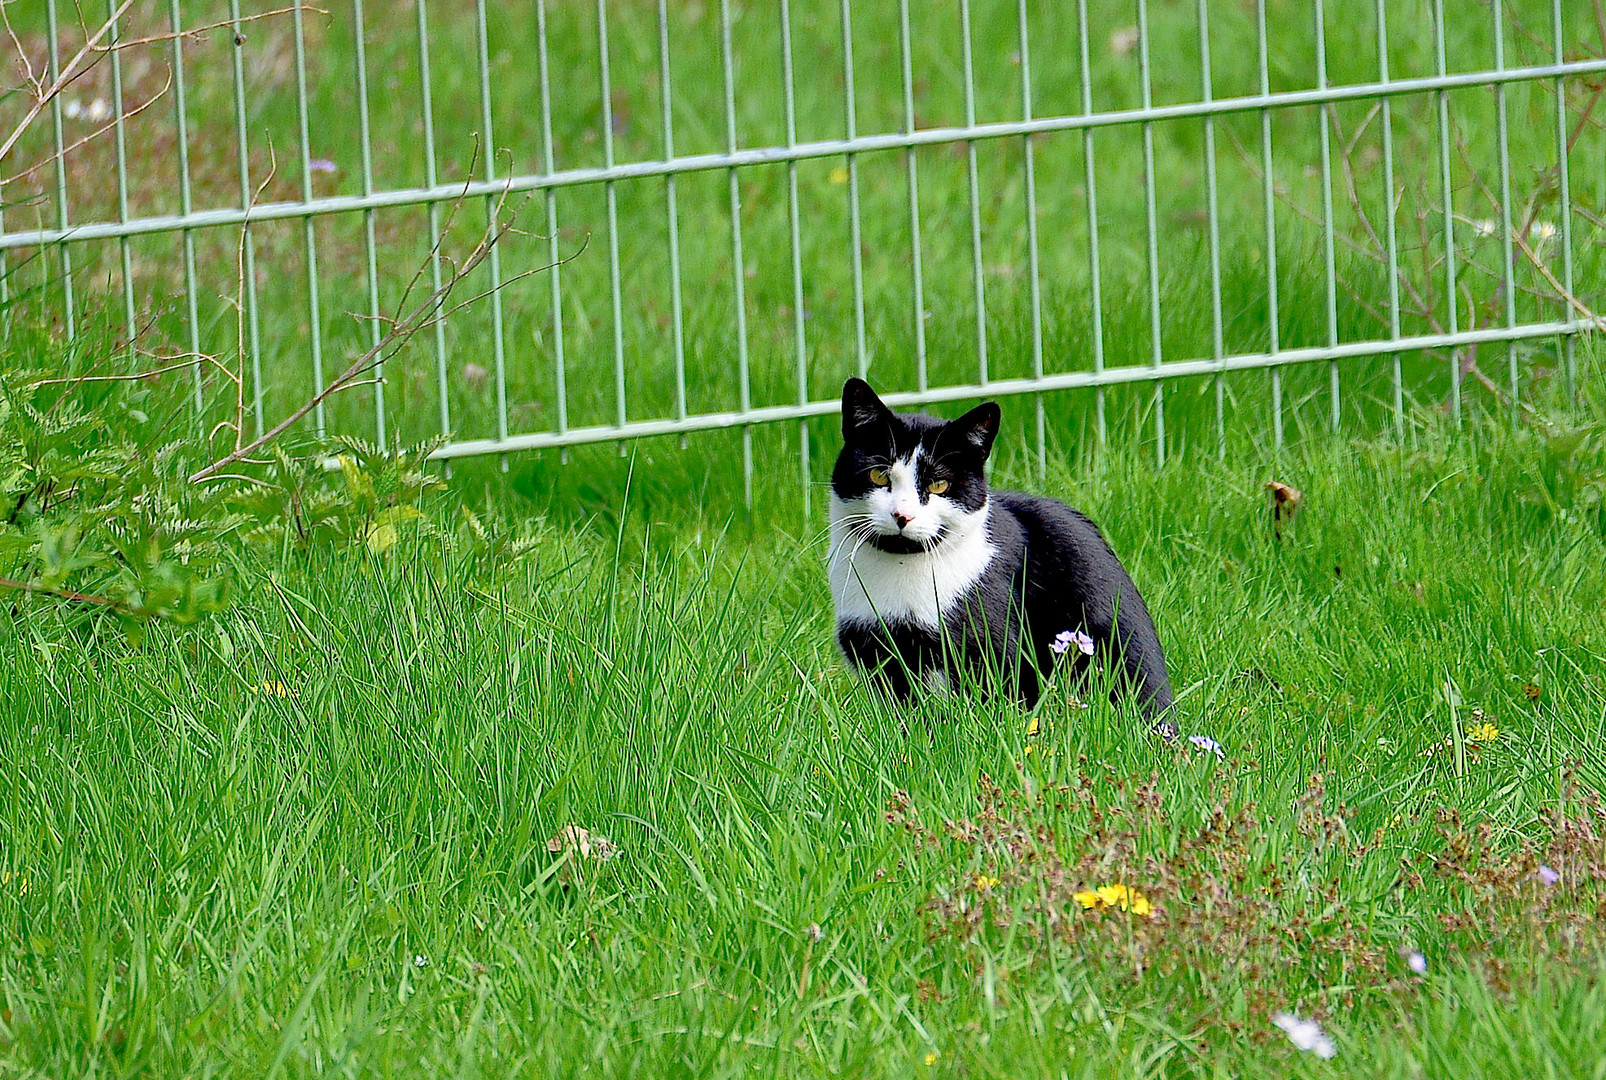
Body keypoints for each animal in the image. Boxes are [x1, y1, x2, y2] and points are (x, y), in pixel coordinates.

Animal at [835, 379, 1175, 726]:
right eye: (879, 475)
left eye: (939, 484)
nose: (902, 515)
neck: (902, 566)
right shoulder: (872, 648)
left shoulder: (990, 639)